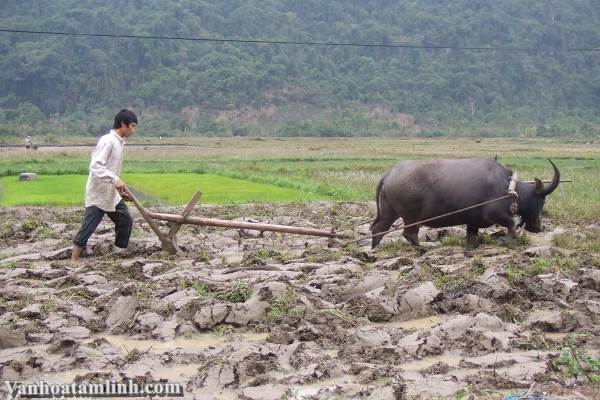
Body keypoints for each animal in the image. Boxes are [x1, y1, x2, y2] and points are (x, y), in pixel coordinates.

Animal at [368, 159, 560, 247]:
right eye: (542, 200)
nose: (538, 227)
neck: (508, 188)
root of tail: (389, 174)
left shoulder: (472, 223)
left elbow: (471, 236)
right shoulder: (494, 214)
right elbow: (511, 224)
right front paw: (508, 241)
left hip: (389, 212)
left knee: (378, 229)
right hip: (411, 217)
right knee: (409, 234)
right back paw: (424, 247)